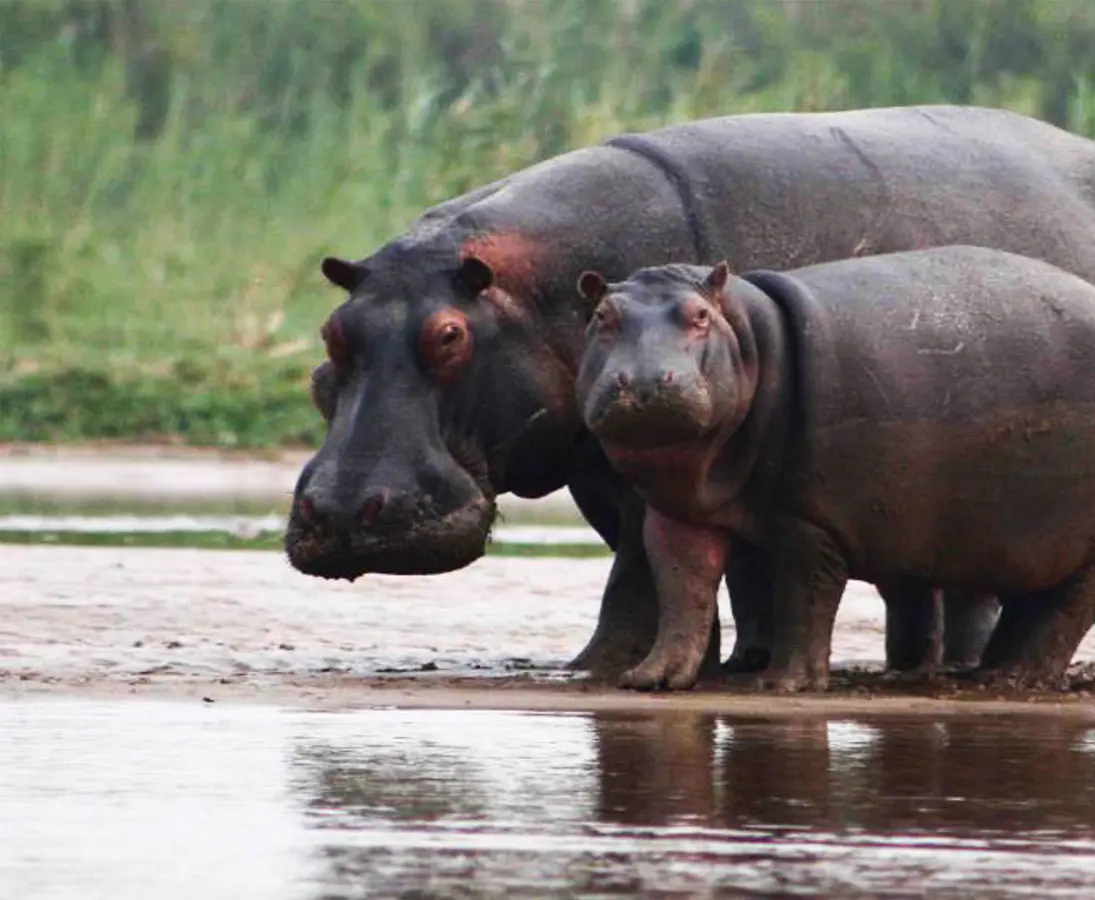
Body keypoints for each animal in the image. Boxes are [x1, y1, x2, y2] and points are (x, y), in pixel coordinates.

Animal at [574, 248, 1095, 691]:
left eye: (700, 316)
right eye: (602, 317)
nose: (643, 382)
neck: (748, 337)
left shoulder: (812, 522)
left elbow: (804, 600)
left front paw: (783, 684)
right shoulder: (678, 513)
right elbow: (682, 589)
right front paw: (650, 678)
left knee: (1065, 610)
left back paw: (1014, 678)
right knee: (1036, 607)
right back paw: (990, 673)